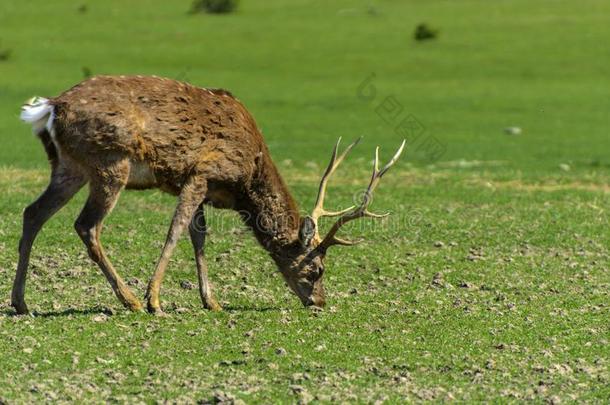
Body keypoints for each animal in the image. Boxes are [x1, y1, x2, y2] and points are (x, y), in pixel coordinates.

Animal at [13, 76, 404, 316]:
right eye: (318, 268)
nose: (320, 302)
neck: (247, 176)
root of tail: (51, 107)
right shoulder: (201, 172)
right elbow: (175, 231)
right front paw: (155, 299)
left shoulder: (204, 189)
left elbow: (199, 239)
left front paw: (211, 301)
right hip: (111, 162)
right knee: (87, 225)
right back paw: (130, 300)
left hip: (69, 167)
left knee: (32, 212)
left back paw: (21, 303)